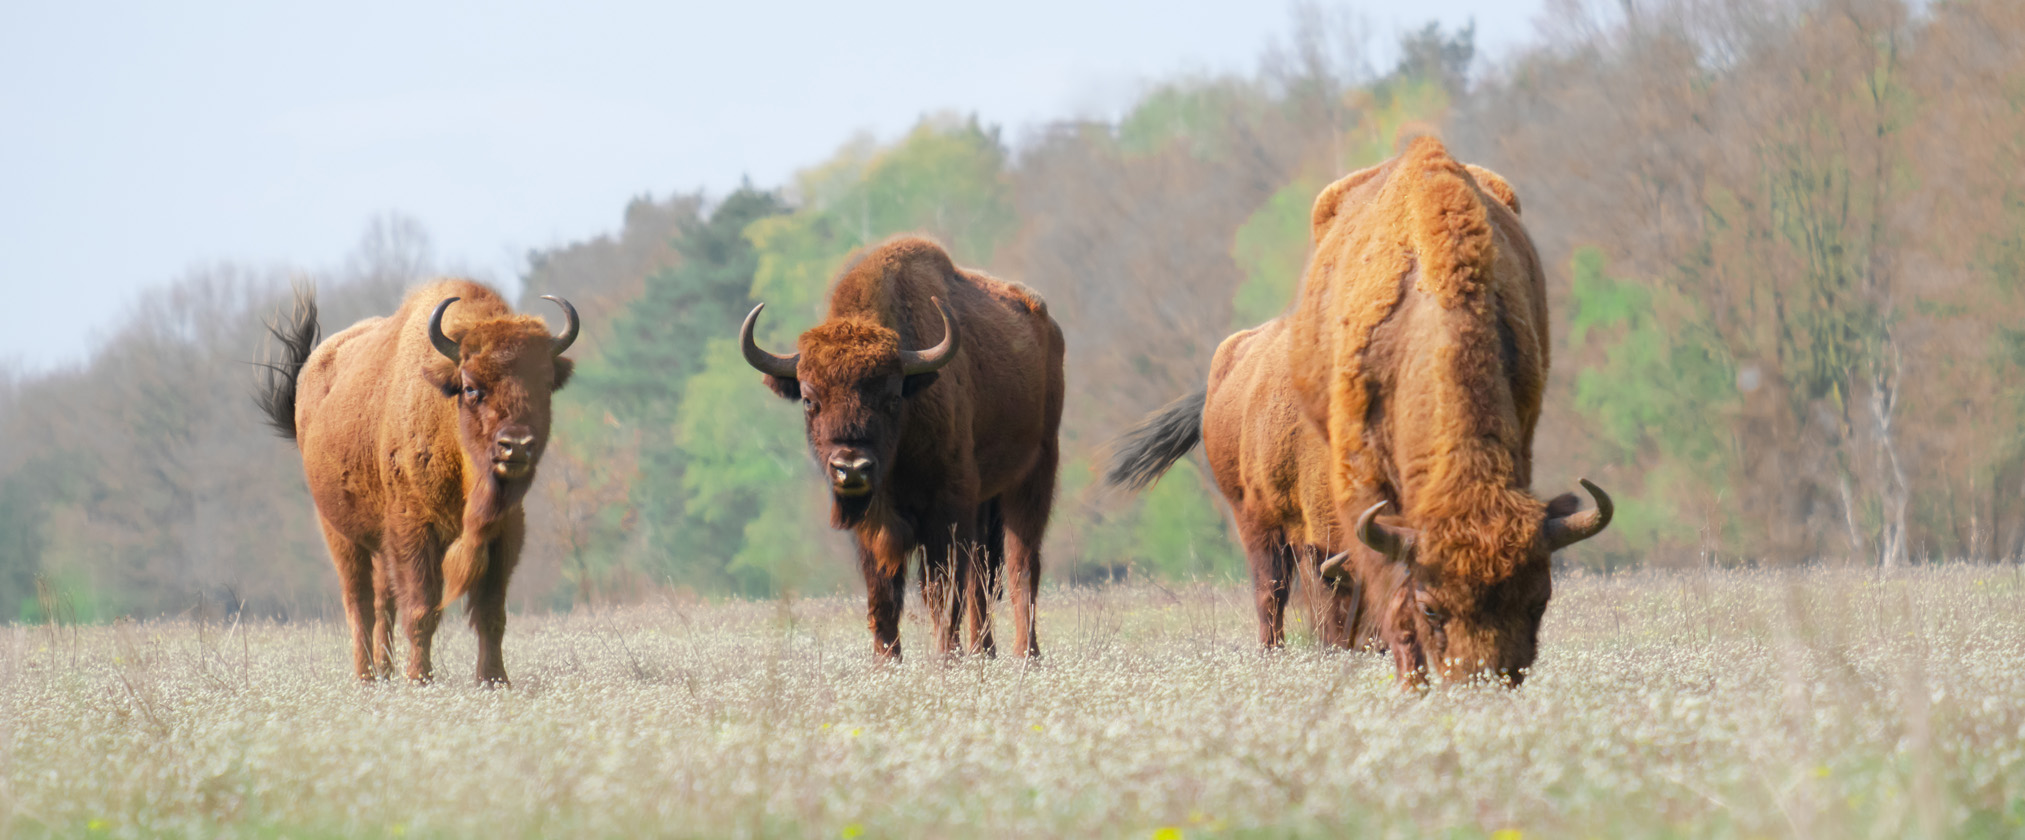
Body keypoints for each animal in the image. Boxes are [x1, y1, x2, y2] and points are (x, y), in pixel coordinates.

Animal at [259, 279, 579, 688]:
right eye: (471, 387)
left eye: (545, 383)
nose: (516, 445)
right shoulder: (415, 529)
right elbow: (422, 608)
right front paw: (420, 679)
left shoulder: (505, 531)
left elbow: (491, 612)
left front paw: (494, 680)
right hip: (340, 533)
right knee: (359, 602)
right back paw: (366, 678)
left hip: (379, 545)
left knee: (383, 603)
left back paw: (384, 672)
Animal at [737, 236, 1069, 663]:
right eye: (810, 400)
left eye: (892, 398)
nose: (852, 467)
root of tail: (1048, 326)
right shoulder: (874, 525)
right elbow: (883, 592)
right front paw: (886, 660)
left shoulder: (945, 509)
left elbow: (941, 587)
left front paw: (945, 656)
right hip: (985, 498)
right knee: (982, 575)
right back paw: (984, 652)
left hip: (1034, 475)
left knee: (1020, 565)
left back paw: (1026, 653)